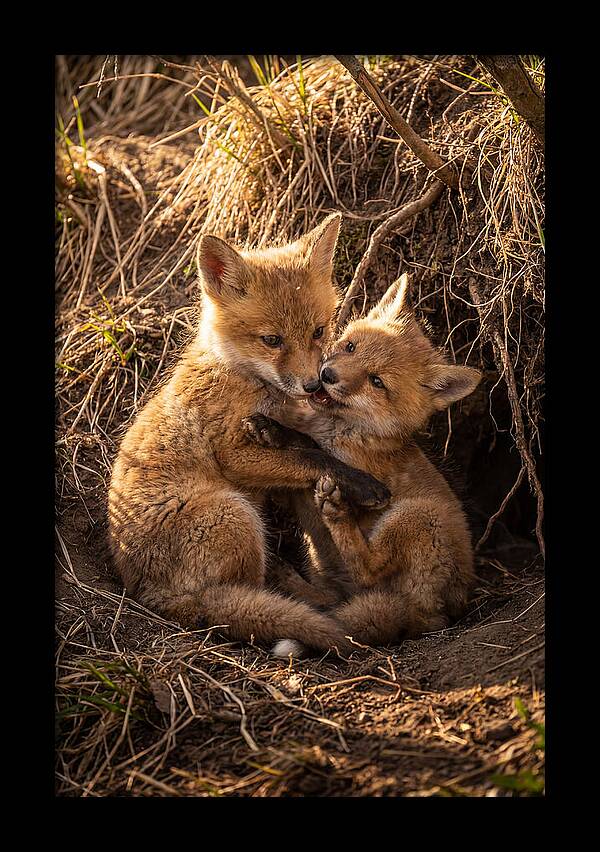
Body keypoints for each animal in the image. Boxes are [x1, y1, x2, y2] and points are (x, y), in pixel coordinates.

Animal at [107, 213, 391, 657]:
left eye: (318, 331)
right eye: (272, 340)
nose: (314, 385)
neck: (240, 375)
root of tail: (149, 595)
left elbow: (305, 444)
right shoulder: (234, 455)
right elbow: (312, 457)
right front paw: (362, 484)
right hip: (234, 513)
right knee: (249, 594)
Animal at [243, 272, 482, 658]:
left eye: (377, 381)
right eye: (351, 347)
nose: (327, 375)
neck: (342, 430)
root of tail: (439, 615)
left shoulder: (349, 467)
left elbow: (313, 449)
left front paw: (280, 433)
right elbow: (301, 443)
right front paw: (271, 428)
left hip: (417, 516)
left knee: (368, 569)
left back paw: (336, 514)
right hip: (331, 571)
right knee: (331, 600)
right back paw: (289, 579)